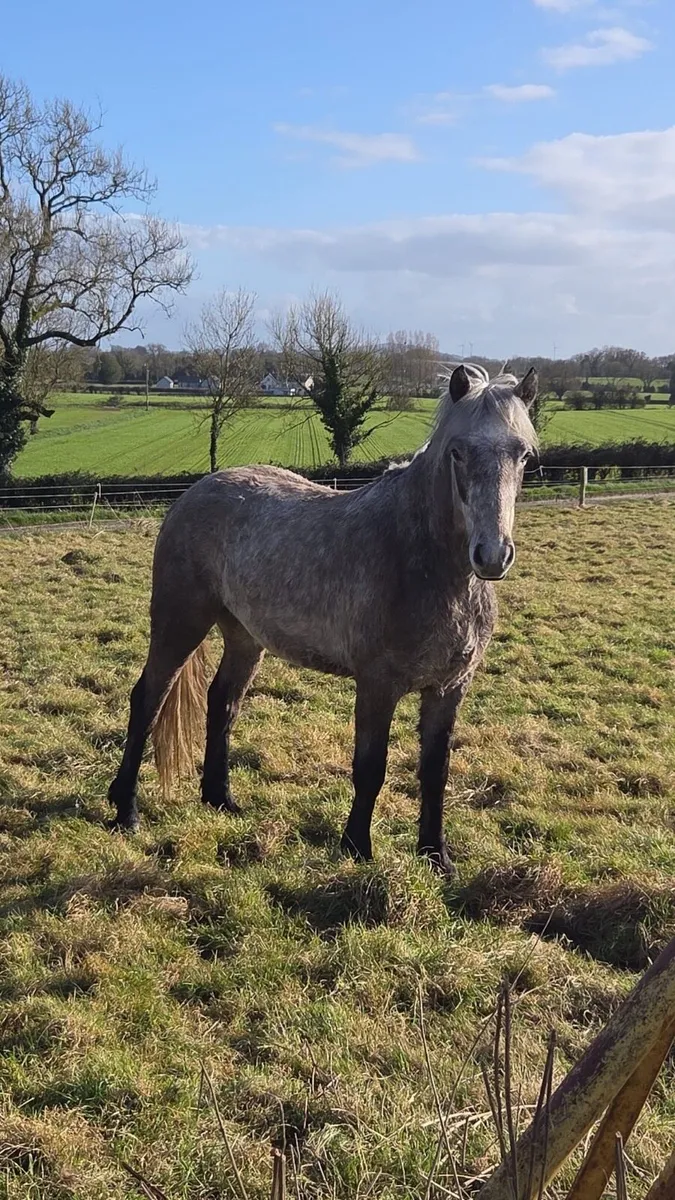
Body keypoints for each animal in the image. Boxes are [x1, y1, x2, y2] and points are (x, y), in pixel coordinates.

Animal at [108, 363, 538, 874]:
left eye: (524, 456)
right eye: (457, 452)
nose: (492, 555)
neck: (421, 561)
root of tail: (194, 493)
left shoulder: (449, 688)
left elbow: (436, 771)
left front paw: (437, 856)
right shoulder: (377, 685)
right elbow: (371, 767)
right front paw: (356, 848)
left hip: (245, 637)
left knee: (222, 703)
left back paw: (220, 799)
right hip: (179, 623)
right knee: (147, 700)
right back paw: (126, 811)